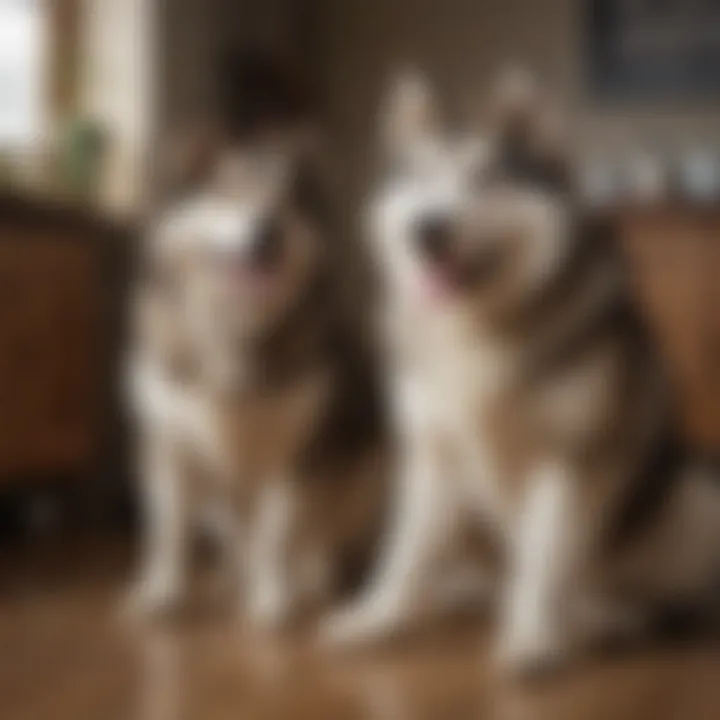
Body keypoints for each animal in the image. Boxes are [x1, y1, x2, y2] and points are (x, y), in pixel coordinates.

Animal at [128, 131, 388, 632]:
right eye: (227, 192)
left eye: (289, 203)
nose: (270, 232)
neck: (235, 326)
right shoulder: (171, 449)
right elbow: (170, 533)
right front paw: (163, 593)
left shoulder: (295, 455)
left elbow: (276, 536)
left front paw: (271, 602)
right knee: (238, 543)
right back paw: (230, 579)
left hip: (364, 476)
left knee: (316, 540)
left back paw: (309, 580)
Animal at [324, 67, 720, 676]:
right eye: (418, 180)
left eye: (486, 179)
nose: (426, 229)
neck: (478, 328)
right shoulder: (433, 458)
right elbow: (406, 554)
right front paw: (379, 616)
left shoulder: (566, 461)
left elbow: (544, 560)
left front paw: (532, 638)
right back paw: (467, 594)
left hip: (695, 496)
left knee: (634, 594)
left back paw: (609, 618)